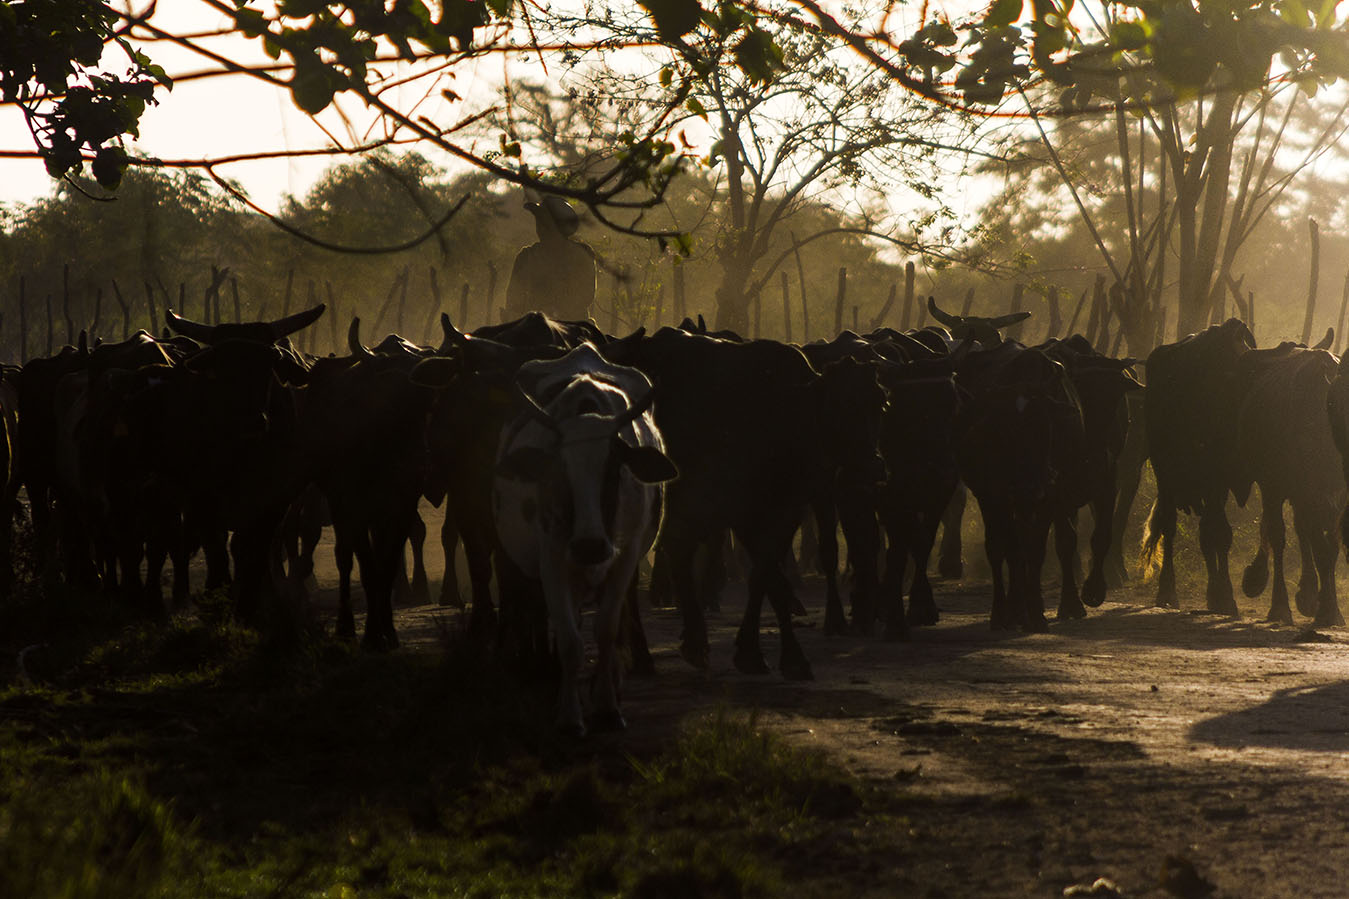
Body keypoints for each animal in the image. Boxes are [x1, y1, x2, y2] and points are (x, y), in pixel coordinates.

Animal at [491, 340, 674, 734]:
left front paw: (607, 706)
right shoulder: (551, 559)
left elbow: (605, 630)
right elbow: (569, 640)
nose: (590, 546)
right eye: (558, 470)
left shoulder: (625, 557)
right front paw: (569, 715)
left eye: (614, 470)